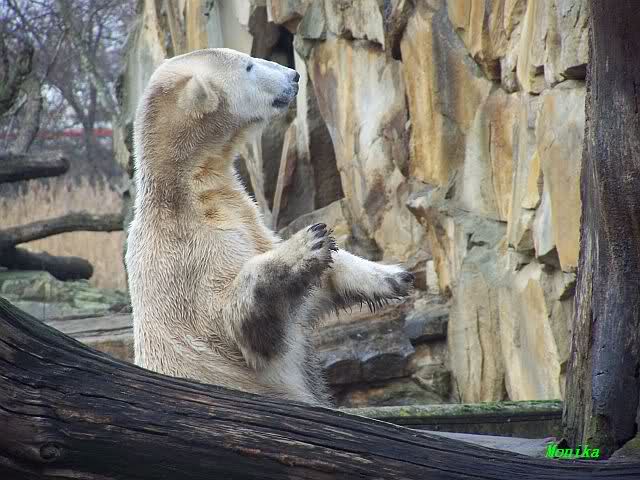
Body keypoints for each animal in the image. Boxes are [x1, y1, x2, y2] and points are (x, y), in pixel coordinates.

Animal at [125, 48, 415, 406]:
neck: (187, 189)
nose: (294, 75)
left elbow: (312, 289)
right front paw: (305, 244)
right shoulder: (186, 257)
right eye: (249, 66)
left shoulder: (243, 218)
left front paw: (393, 275)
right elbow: (235, 322)